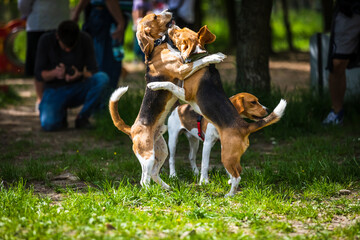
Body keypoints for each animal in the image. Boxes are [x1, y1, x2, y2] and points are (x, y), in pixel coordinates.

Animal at [108, 10, 225, 189]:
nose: (169, 11)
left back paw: (166, 188)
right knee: (144, 179)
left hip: (162, 150)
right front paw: (215, 57)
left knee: (154, 173)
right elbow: (199, 60)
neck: (158, 46)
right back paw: (151, 191)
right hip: (148, 156)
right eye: (155, 17)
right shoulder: (183, 68)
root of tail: (132, 129)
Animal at [147, 25, 286, 197]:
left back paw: (229, 194)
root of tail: (244, 126)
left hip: (207, 149)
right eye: (254, 102)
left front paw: (155, 84)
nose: (170, 26)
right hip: (210, 146)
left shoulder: (186, 94)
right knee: (207, 162)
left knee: (236, 175)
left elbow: (169, 84)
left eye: (178, 34)